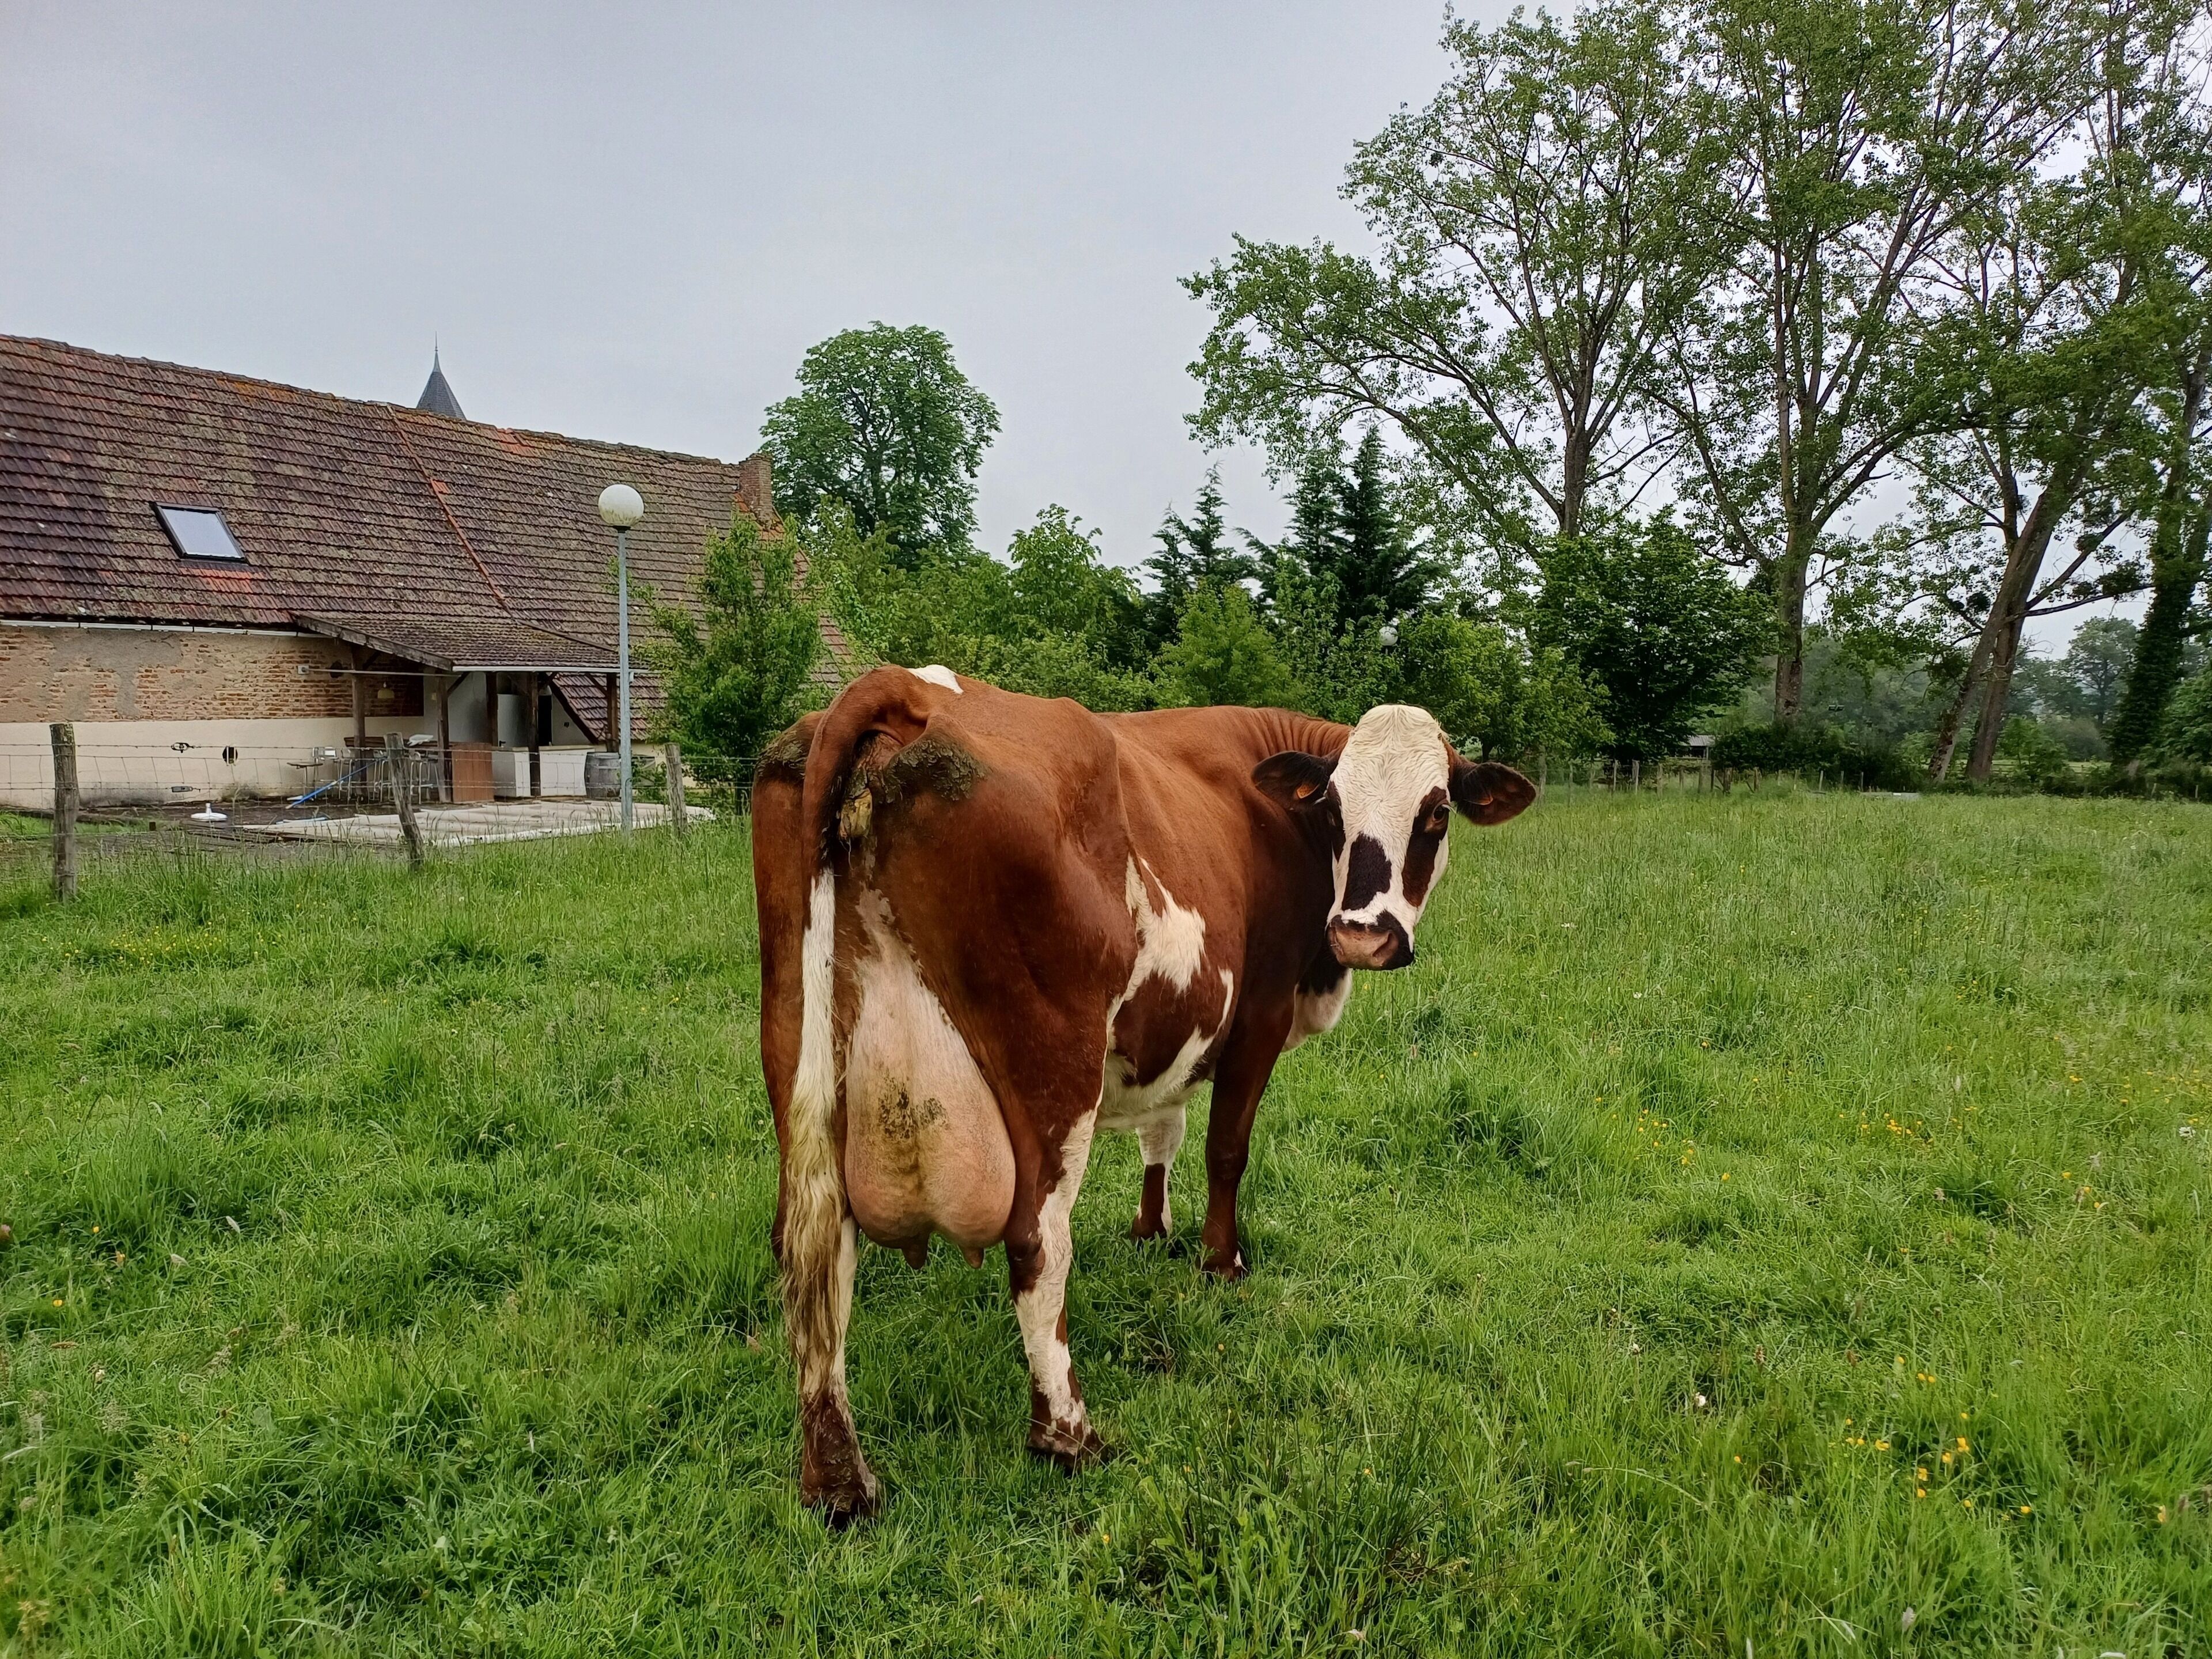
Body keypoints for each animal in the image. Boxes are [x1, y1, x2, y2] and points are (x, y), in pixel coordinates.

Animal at [753, 665, 1535, 1521]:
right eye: (1333, 807)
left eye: (1436, 811)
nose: (1364, 935)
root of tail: (905, 686)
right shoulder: (1257, 1014)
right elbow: (1227, 1148)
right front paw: (1220, 1262)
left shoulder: (1184, 1019)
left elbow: (1165, 1129)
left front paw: (1150, 1228)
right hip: (1052, 1066)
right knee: (1036, 1245)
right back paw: (1067, 1435)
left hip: (798, 1049)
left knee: (815, 1246)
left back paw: (838, 1479)